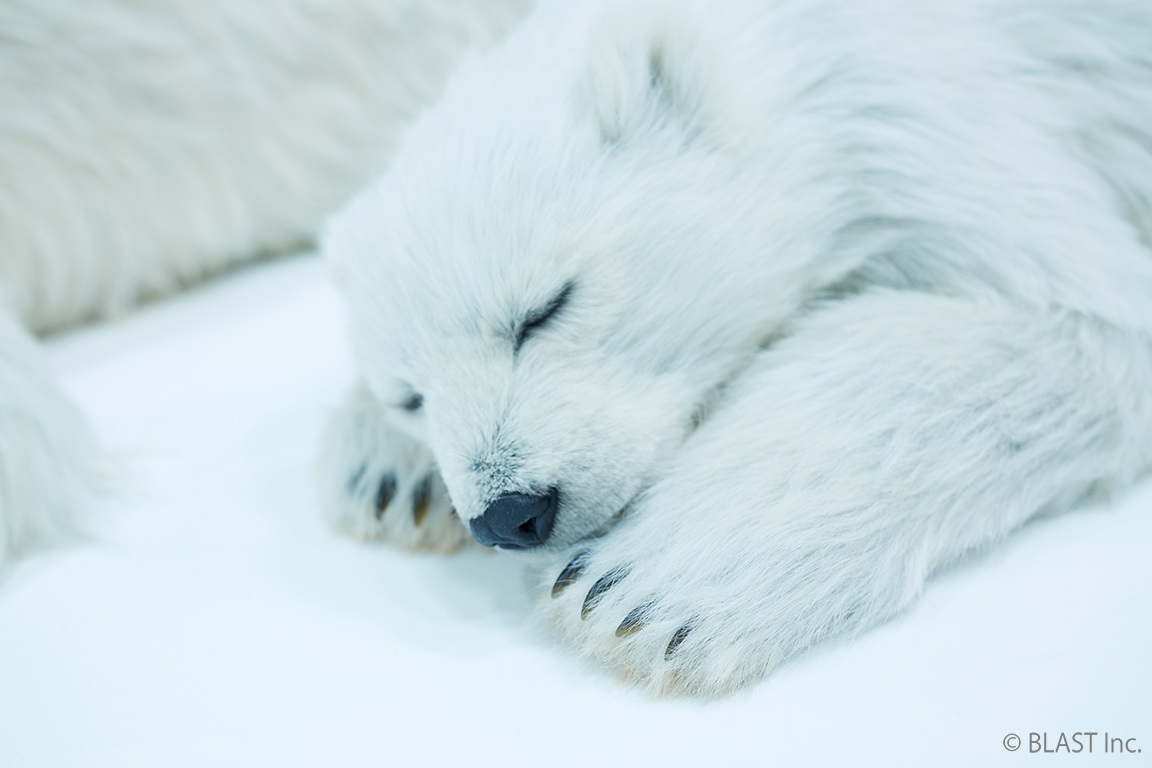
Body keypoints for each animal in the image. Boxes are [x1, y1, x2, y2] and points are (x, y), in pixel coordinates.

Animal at [320, 0, 1152, 695]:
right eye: (409, 396)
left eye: (546, 307)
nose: (509, 512)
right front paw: (385, 477)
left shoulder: (934, 133)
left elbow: (1078, 329)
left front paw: (632, 590)